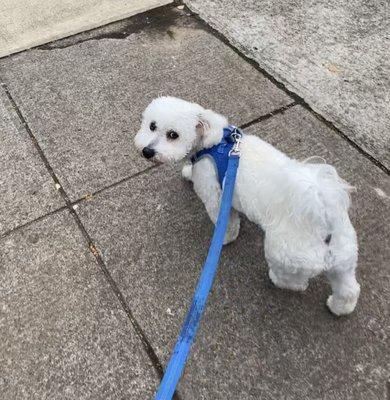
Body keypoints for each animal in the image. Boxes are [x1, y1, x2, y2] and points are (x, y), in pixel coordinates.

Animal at [136, 96, 362, 316]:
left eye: (173, 135)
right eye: (152, 126)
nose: (147, 151)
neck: (213, 145)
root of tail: (323, 214)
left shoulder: (215, 196)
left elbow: (226, 224)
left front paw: (224, 239)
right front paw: (187, 172)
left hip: (285, 255)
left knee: (296, 283)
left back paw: (276, 278)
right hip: (343, 260)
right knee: (349, 289)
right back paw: (339, 307)